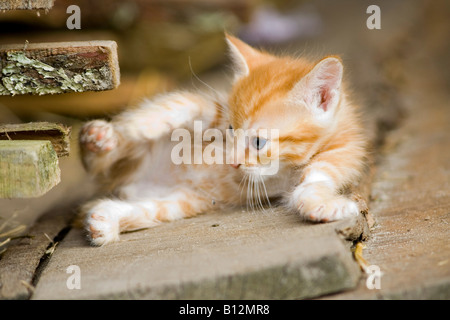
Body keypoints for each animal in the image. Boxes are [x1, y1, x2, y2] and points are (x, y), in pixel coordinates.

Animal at [78, 33, 366, 246]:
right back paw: (102, 137)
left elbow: (315, 182)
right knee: (94, 159)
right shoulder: (213, 111)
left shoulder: (340, 154)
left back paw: (105, 221)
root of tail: (128, 182)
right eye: (230, 129)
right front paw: (139, 125)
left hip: (184, 200)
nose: (232, 163)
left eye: (259, 143)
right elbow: (183, 105)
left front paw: (324, 205)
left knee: (151, 209)